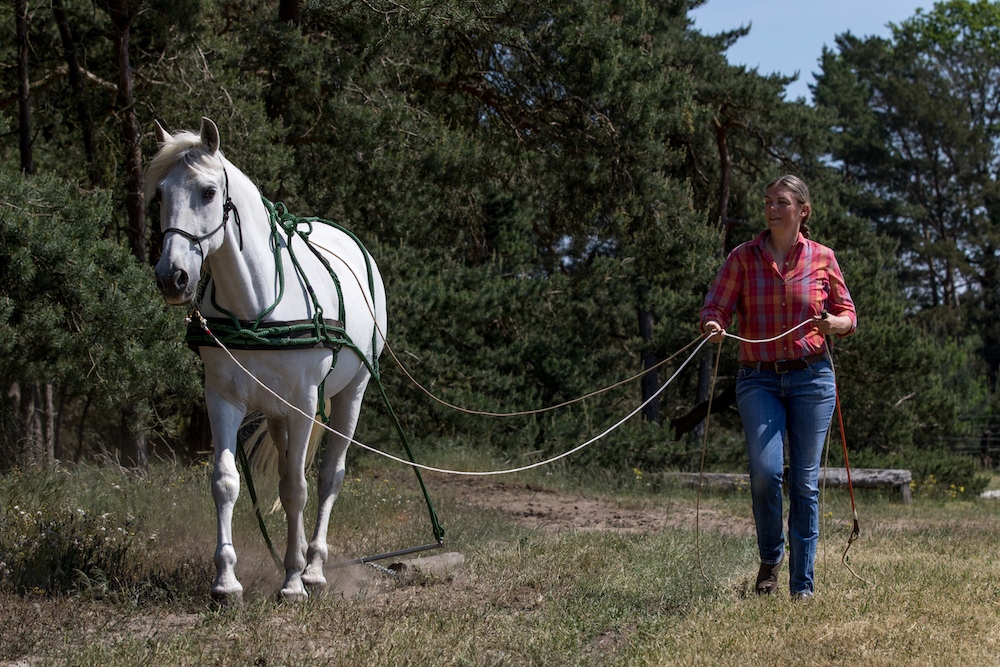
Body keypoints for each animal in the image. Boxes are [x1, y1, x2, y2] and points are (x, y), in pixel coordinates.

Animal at [146, 118, 384, 604]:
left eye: (208, 192)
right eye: (160, 194)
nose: (172, 277)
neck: (257, 303)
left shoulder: (304, 404)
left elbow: (297, 489)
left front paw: (293, 582)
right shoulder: (223, 399)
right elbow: (226, 481)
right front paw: (225, 582)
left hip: (349, 396)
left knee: (328, 477)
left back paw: (314, 568)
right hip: (277, 414)